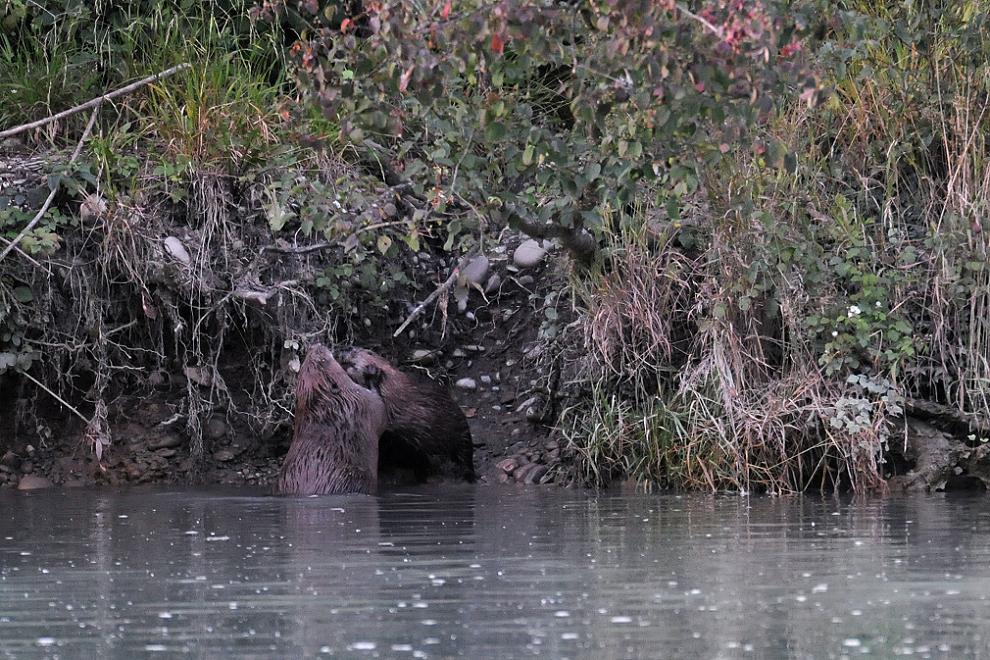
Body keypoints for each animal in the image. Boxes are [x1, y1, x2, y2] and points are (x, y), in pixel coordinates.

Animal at [280, 346, 392, 496]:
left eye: (304, 365)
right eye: (322, 362)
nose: (316, 346)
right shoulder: (364, 403)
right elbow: (381, 413)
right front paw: (372, 373)